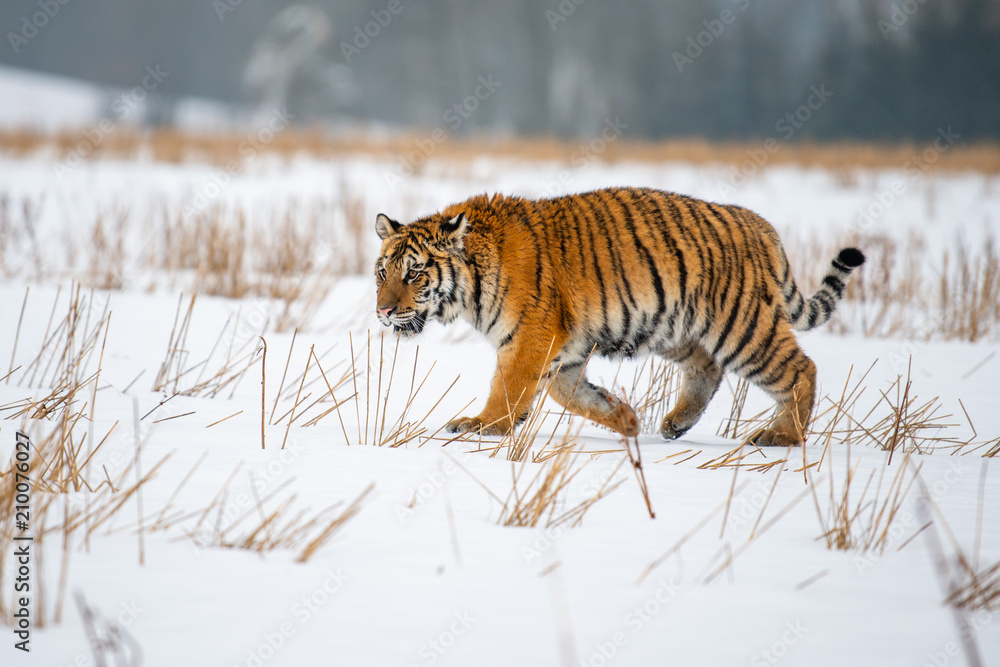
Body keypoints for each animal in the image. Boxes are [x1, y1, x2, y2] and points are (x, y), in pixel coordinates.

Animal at [374, 187, 864, 447]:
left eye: (414, 273)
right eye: (383, 273)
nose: (382, 311)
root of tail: (761, 226)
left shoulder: (530, 337)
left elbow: (508, 389)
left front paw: (482, 426)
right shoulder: (564, 353)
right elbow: (575, 396)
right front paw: (626, 421)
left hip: (741, 326)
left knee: (801, 368)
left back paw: (782, 437)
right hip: (678, 328)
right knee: (706, 368)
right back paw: (675, 423)